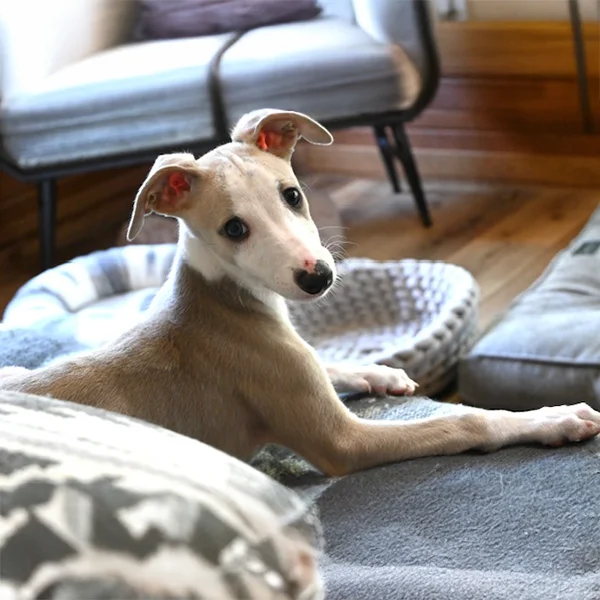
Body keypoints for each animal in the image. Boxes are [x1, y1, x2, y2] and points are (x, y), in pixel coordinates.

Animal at [1, 106, 600, 474]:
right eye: (234, 229)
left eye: (291, 194)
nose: (318, 277)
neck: (222, 296)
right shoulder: (342, 441)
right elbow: (464, 420)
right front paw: (554, 418)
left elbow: (328, 359)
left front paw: (378, 371)